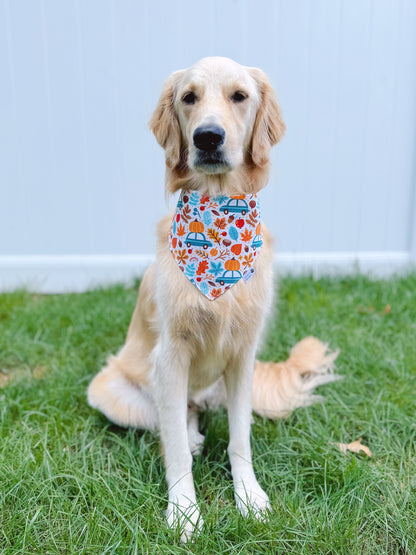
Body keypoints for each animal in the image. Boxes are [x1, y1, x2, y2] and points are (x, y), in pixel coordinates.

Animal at [88, 57, 338, 544]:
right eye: (189, 97)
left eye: (239, 96)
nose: (207, 137)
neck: (220, 214)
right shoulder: (170, 356)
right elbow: (175, 451)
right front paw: (185, 512)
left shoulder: (243, 354)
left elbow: (240, 438)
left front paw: (250, 497)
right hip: (110, 391)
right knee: (174, 420)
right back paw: (191, 434)